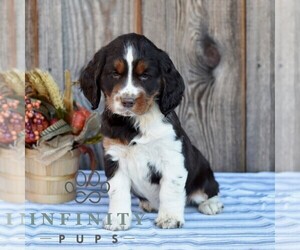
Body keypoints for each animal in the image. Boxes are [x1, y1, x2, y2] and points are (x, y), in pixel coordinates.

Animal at [79, 32, 223, 230]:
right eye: (114, 74)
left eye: (145, 76)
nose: (128, 101)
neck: (136, 122)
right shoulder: (115, 157)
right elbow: (118, 192)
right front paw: (117, 219)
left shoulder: (172, 156)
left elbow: (171, 190)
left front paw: (169, 218)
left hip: (202, 168)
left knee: (210, 188)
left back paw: (211, 204)